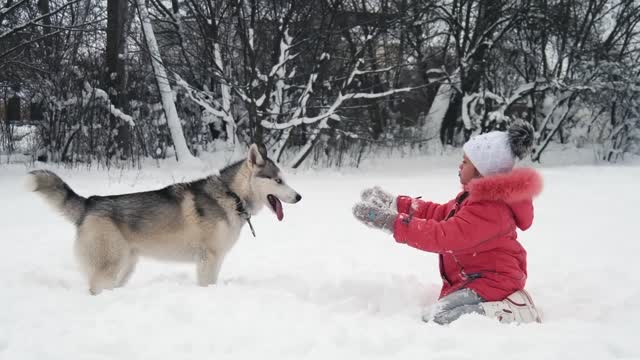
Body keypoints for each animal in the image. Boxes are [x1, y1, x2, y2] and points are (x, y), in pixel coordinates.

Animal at [26, 144, 302, 296]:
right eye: (278, 180)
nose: (299, 197)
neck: (232, 195)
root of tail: (89, 202)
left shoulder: (215, 259)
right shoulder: (208, 258)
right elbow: (206, 284)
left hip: (126, 266)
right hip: (109, 265)